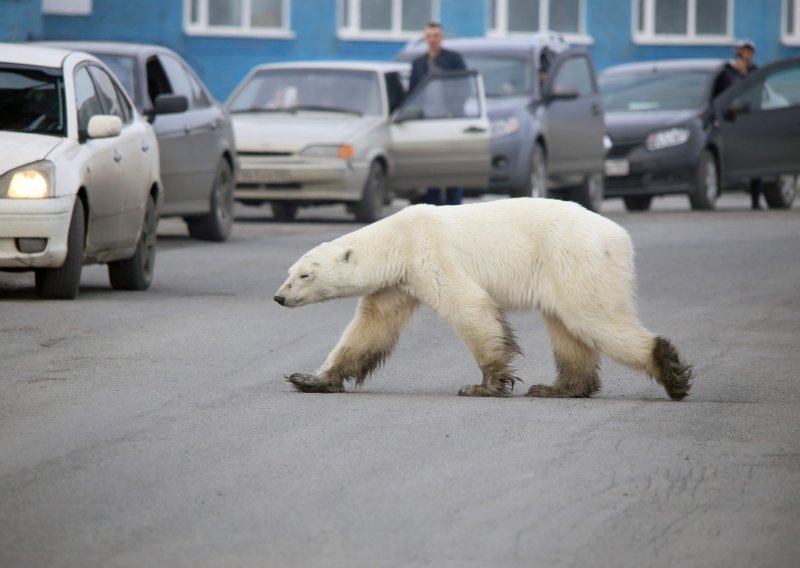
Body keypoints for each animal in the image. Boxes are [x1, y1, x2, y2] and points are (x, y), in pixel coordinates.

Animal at [272, 199, 692, 400]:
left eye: (305, 274)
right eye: (290, 271)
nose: (278, 297)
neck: (398, 239)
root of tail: (619, 236)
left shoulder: (430, 254)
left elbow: (469, 307)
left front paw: (485, 385)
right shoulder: (397, 283)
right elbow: (371, 327)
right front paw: (309, 379)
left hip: (574, 258)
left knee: (592, 317)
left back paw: (670, 370)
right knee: (567, 328)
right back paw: (557, 387)